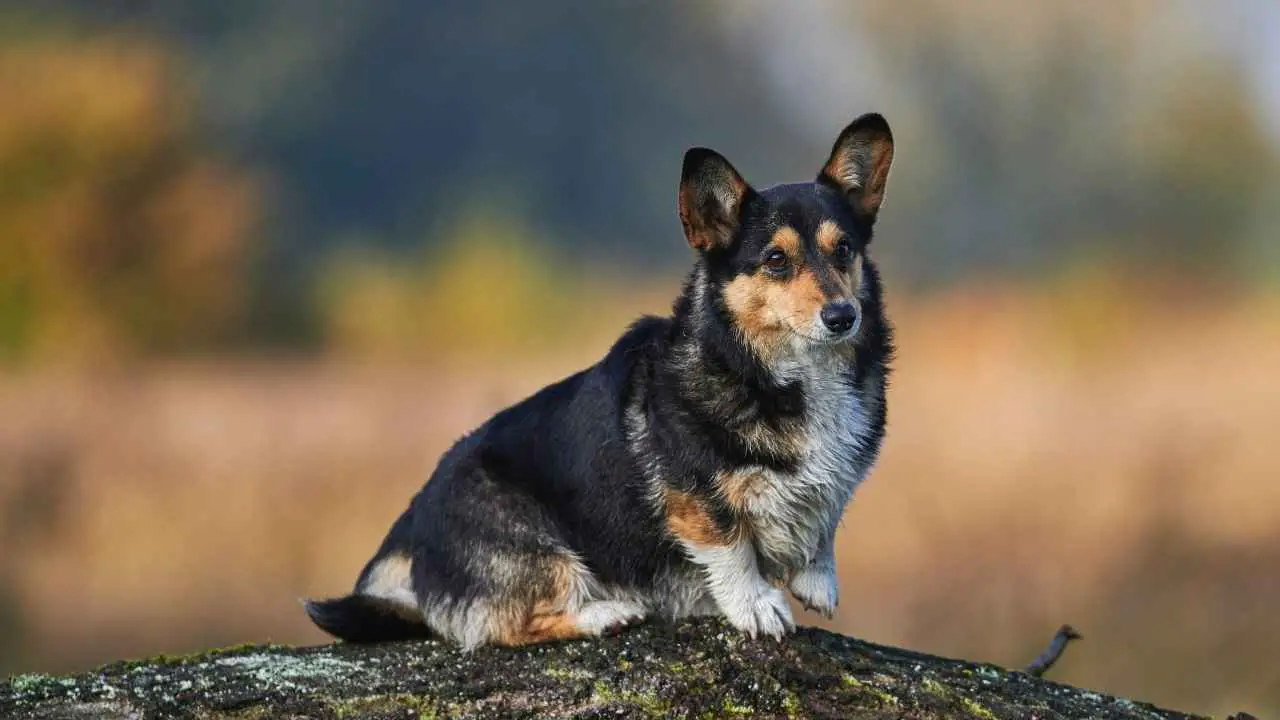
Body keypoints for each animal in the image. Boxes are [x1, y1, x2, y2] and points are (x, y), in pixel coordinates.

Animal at [304, 110, 896, 645]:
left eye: (844, 249)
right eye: (775, 259)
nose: (843, 317)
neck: (785, 373)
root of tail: (408, 527)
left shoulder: (837, 478)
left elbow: (825, 517)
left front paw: (816, 578)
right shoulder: (693, 494)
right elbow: (730, 547)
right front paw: (757, 605)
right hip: (535, 543)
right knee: (506, 626)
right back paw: (605, 613)